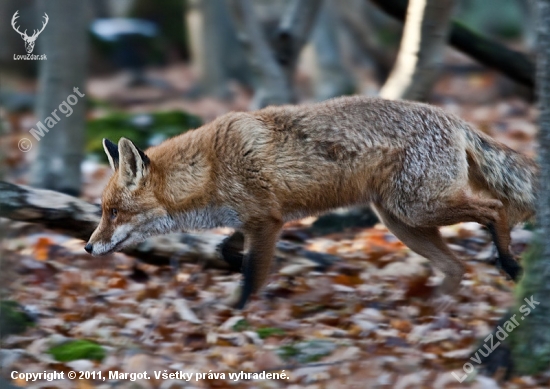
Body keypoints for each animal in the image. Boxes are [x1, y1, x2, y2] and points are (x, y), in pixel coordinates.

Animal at [86, 95, 540, 308]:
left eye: (114, 213)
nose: (88, 247)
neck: (210, 168)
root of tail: (453, 118)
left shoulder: (267, 221)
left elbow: (251, 275)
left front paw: (236, 313)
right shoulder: (255, 220)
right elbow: (228, 251)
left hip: (417, 207)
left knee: (494, 210)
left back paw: (510, 264)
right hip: (401, 220)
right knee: (456, 266)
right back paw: (436, 305)